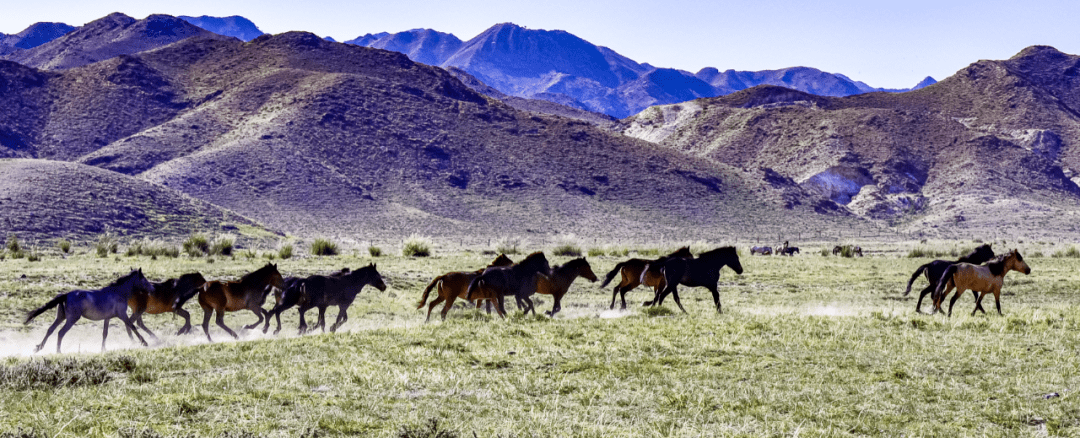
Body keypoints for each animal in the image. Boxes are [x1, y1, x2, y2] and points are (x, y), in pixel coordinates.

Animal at [25, 268, 153, 353]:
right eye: (144, 279)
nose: (152, 289)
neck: (118, 293)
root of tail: (66, 295)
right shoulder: (122, 315)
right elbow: (133, 326)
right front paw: (144, 342)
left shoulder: (107, 318)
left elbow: (105, 333)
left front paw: (103, 349)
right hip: (71, 319)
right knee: (60, 332)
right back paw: (58, 352)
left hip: (61, 317)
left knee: (50, 330)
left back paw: (39, 347)